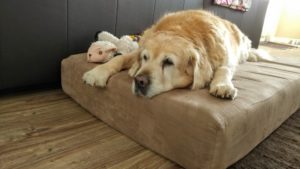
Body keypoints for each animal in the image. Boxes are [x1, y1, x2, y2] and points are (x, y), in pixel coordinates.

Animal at [83, 9, 270, 99]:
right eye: (145, 58)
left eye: (168, 62)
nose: (139, 81)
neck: (182, 31)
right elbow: (121, 58)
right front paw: (96, 73)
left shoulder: (226, 59)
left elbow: (224, 69)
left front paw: (222, 86)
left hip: (242, 46)